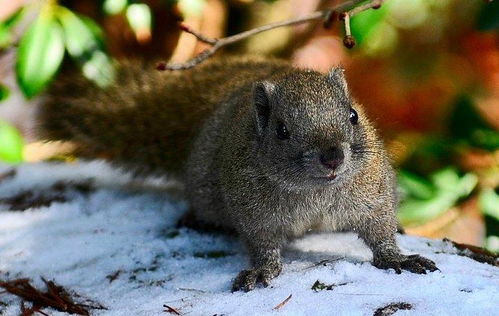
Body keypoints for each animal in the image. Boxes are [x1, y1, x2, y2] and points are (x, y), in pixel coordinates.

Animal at [39, 56, 438, 292]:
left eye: (353, 115)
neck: (314, 192)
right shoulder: (254, 213)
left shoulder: (373, 194)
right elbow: (262, 245)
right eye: (281, 130)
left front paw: (397, 257)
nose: (332, 157)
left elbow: (380, 232)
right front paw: (263, 270)